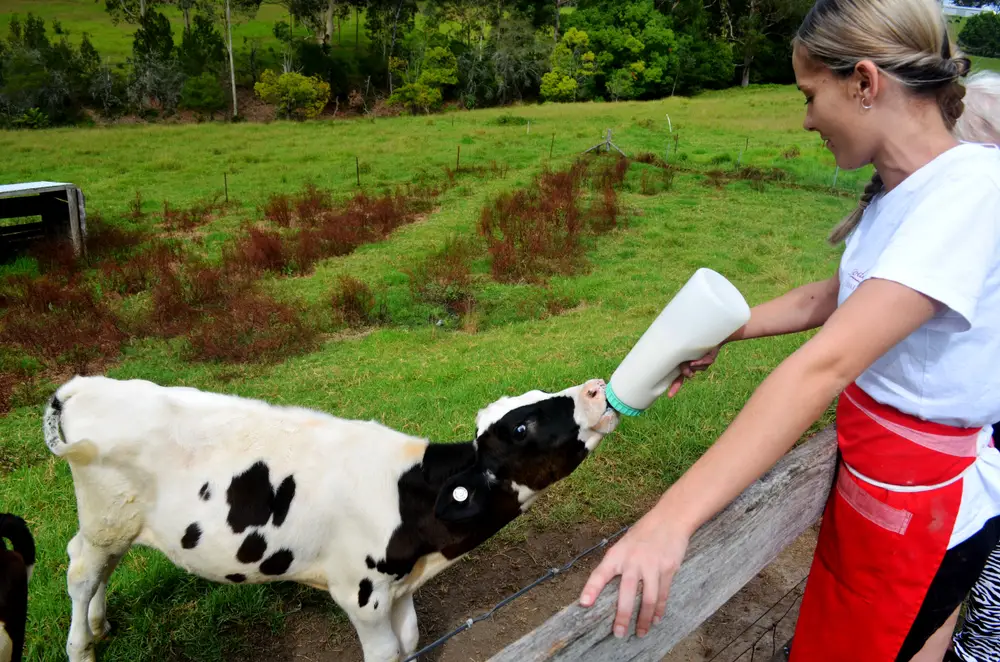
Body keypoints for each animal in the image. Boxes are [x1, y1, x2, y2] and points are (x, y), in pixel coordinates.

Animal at [45, 376, 616, 660]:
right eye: (521, 428)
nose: (595, 387)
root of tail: (81, 385)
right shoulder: (360, 592)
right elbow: (386, 653)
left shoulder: (399, 586)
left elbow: (411, 641)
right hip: (105, 517)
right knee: (80, 572)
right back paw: (81, 648)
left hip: (115, 524)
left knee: (95, 566)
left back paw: (98, 624)